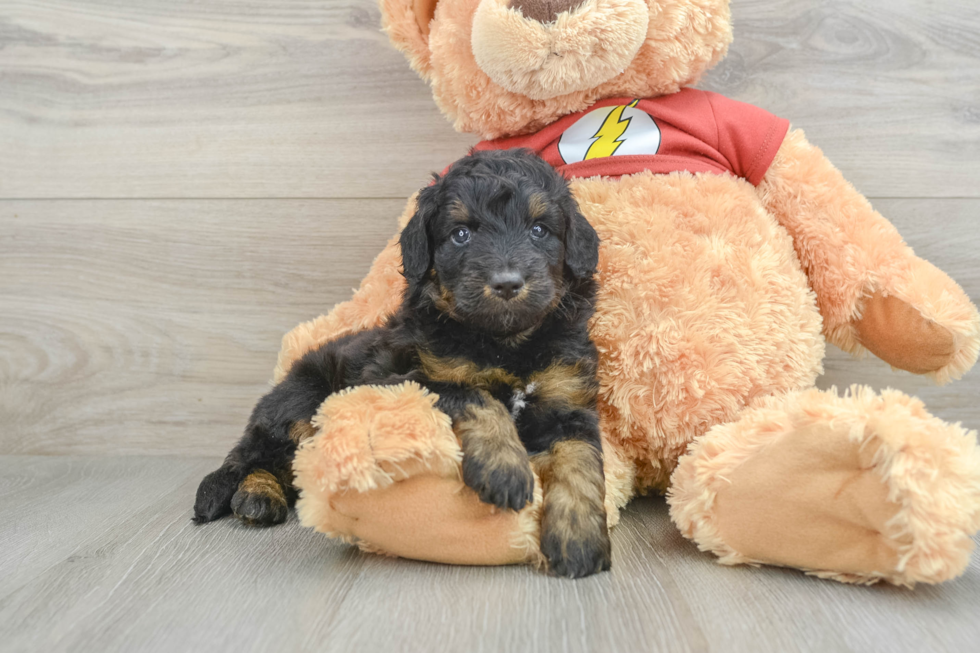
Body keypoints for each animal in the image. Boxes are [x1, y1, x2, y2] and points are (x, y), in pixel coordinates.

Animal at [194, 148, 608, 576]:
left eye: (539, 229)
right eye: (461, 234)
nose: (507, 283)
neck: (504, 343)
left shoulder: (568, 401)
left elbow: (581, 459)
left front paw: (578, 536)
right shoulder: (394, 378)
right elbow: (473, 392)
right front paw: (504, 468)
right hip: (300, 403)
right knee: (258, 459)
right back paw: (257, 496)